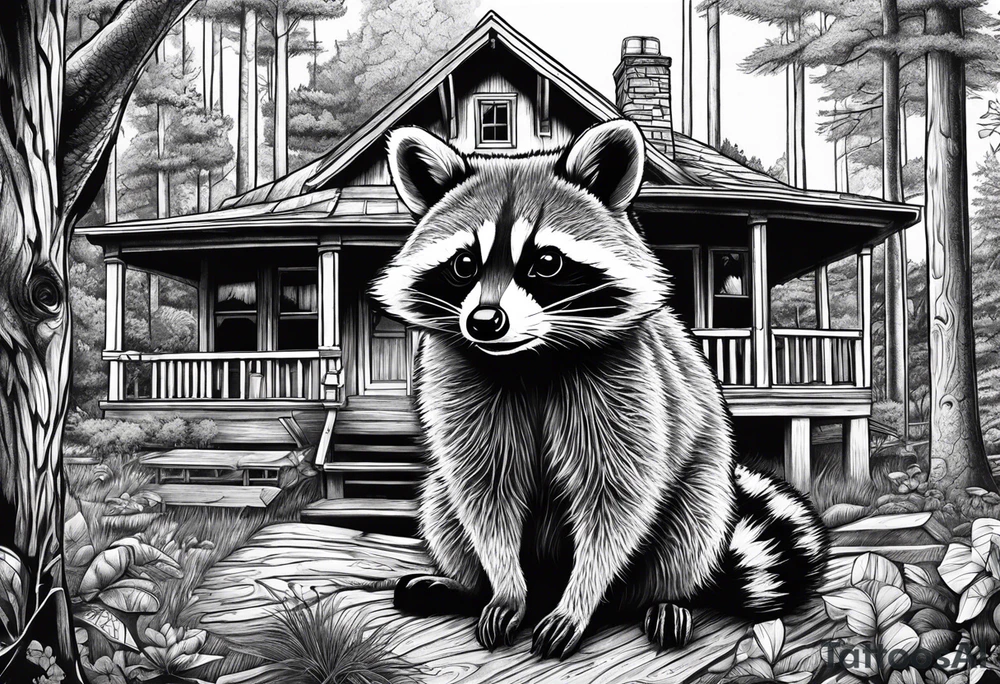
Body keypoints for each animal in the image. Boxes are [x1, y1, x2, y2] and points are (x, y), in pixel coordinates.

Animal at [371, 119, 829, 659]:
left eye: (546, 262)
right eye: (464, 264)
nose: (484, 322)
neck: (530, 357)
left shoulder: (627, 382)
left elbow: (616, 497)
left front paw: (580, 598)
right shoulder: (462, 381)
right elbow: (487, 492)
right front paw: (504, 587)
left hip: (704, 488)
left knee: (690, 525)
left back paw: (664, 598)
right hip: (439, 492)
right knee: (444, 503)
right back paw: (466, 585)